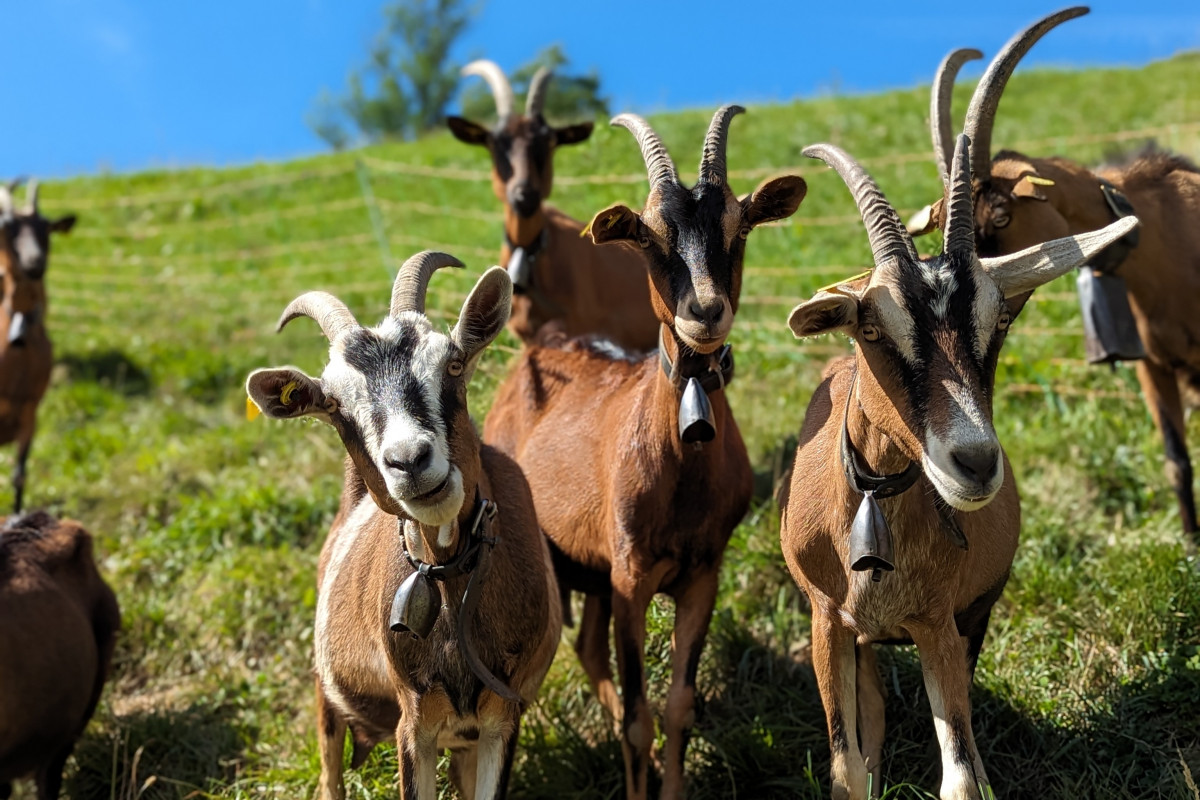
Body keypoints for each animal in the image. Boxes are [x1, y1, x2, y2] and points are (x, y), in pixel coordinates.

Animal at [246, 251, 561, 800]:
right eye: (334, 406)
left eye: (453, 363)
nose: (409, 460)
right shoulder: (415, 723)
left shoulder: (500, 719)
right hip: (327, 696)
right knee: (329, 773)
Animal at [482, 105, 808, 800]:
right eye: (651, 238)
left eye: (739, 228)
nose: (705, 311)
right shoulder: (630, 576)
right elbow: (638, 718)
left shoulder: (702, 573)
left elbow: (679, 704)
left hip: (591, 567)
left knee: (586, 647)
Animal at [781, 134, 1138, 800]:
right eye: (871, 326)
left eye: (998, 320)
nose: (973, 463)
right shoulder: (828, 621)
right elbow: (848, 768)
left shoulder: (939, 624)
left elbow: (963, 776)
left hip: (974, 617)